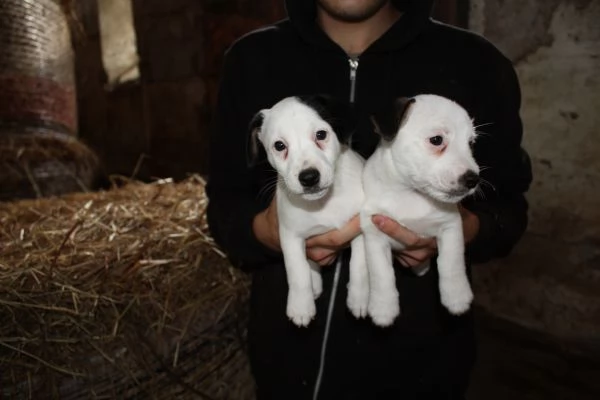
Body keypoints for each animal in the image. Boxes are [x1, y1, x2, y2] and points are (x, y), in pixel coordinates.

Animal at [250, 95, 370, 326]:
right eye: (279, 146)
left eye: (321, 135)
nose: (308, 177)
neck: (324, 203)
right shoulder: (290, 236)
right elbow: (297, 270)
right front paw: (300, 305)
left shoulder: (361, 226)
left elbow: (359, 264)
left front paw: (359, 297)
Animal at [358, 94, 480, 328]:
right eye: (437, 140)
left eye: (470, 143)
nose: (473, 179)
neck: (411, 194)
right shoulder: (375, 235)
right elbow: (382, 273)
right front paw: (383, 307)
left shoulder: (450, 226)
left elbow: (451, 262)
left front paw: (457, 296)